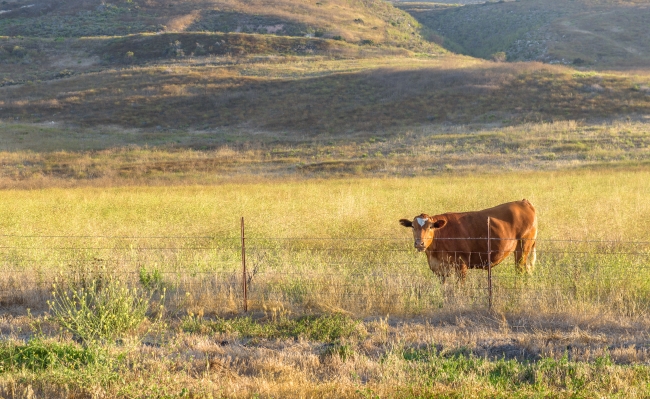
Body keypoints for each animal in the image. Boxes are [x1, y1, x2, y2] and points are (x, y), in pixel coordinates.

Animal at [398, 199, 536, 282]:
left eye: (430, 227)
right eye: (413, 226)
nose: (419, 243)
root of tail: (523, 202)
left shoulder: (461, 265)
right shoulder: (438, 269)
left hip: (523, 247)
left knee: (520, 270)